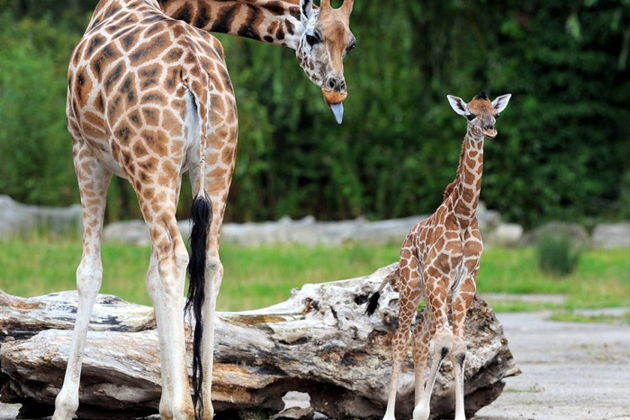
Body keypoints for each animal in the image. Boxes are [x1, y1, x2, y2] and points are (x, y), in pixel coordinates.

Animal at [55, 0, 356, 420]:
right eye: (314, 36)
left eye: (350, 44)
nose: (336, 89)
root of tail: (194, 76)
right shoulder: (177, 170)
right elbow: (151, 276)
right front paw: (166, 398)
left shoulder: (85, 150)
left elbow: (90, 273)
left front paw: (65, 405)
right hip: (217, 160)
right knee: (209, 263)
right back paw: (203, 405)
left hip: (150, 163)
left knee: (174, 258)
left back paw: (182, 408)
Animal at [366, 92, 512, 420]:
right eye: (470, 115)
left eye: (495, 113)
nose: (490, 129)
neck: (464, 216)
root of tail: (405, 241)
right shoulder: (438, 277)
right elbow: (444, 344)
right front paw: (421, 409)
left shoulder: (465, 283)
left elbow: (458, 347)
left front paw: (449, 413)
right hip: (412, 285)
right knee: (401, 340)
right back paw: (391, 414)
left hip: (431, 294)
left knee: (421, 340)